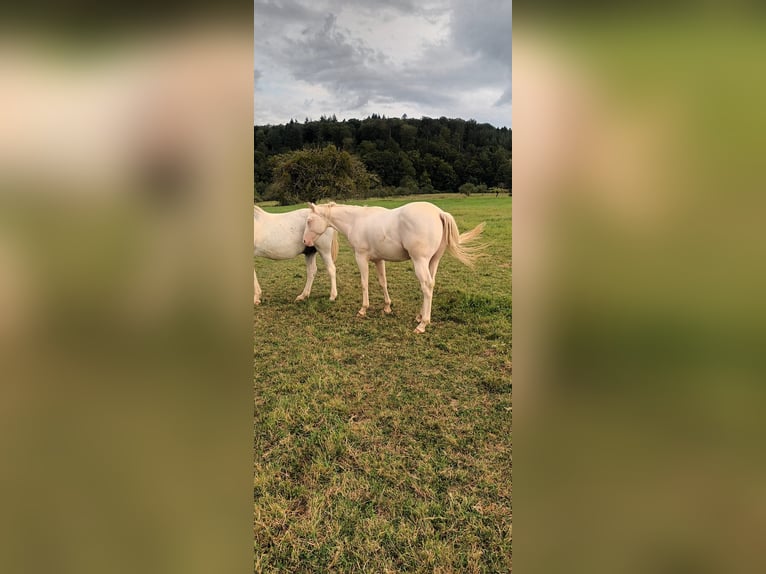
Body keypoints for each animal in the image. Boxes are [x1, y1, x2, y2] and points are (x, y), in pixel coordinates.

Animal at [304, 204, 486, 336]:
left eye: (309, 221)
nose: (305, 241)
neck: (356, 221)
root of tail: (439, 213)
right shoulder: (378, 260)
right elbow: (382, 282)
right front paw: (387, 307)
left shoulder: (361, 258)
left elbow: (364, 283)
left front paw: (363, 309)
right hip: (433, 261)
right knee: (431, 285)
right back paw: (420, 316)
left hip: (420, 262)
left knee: (426, 286)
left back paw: (423, 324)